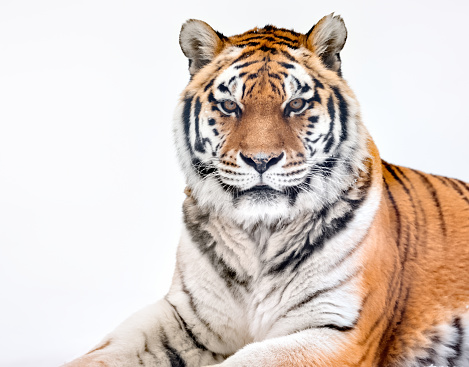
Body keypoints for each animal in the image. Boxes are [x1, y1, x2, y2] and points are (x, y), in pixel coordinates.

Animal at [62, 13, 468, 367]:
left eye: (296, 104)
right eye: (230, 105)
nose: (261, 160)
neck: (259, 236)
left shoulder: (337, 330)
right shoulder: (186, 318)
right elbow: (104, 352)